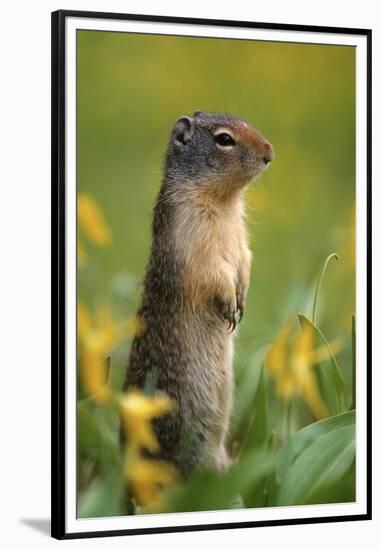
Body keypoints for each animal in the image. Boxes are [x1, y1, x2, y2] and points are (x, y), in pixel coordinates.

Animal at [124, 112, 274, 478]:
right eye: (224, 139)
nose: (269, 152)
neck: (224, 201)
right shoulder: (190, 235)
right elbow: (211, 272)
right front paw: (230, 303)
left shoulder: (240, 236)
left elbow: (245, 257)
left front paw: (242, 296)